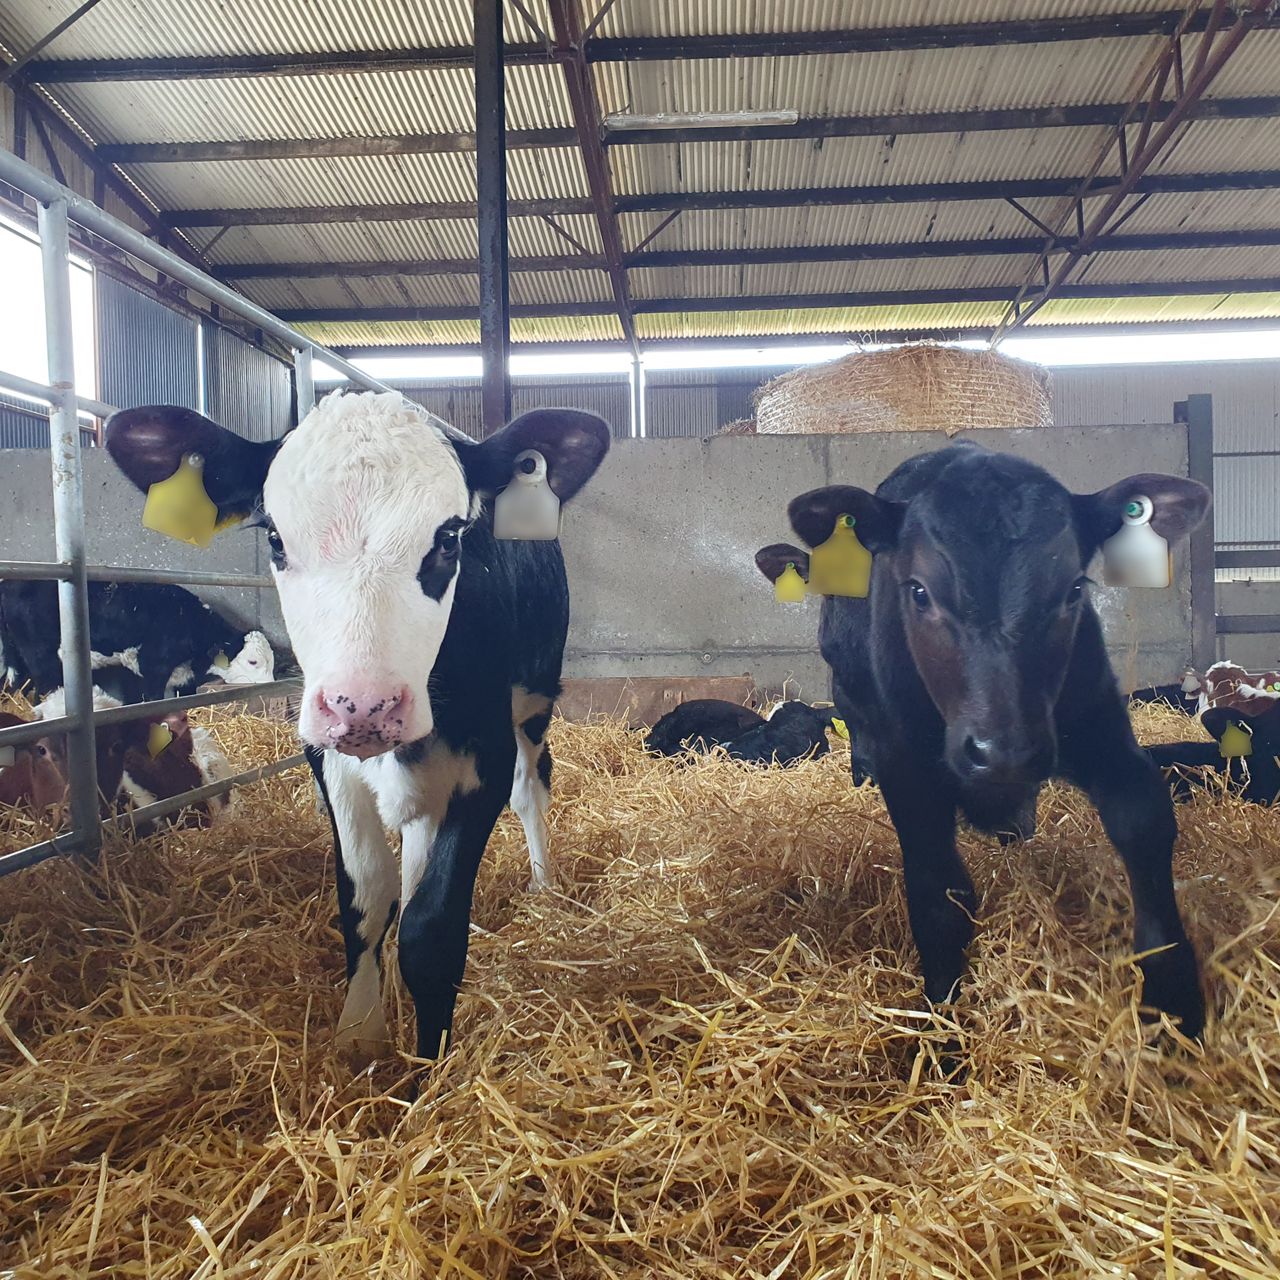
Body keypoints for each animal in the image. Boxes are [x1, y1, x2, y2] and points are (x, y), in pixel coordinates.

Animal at [104, 392, 610, 1062]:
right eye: (275, 537)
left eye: (450, 538)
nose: (362, 706)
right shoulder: (330, 762)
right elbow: (366, 899)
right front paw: (358, 1040)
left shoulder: (484, 762)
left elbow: (431, 925)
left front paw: (427, 1066)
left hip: (533, 701)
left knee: (531, 789)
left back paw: (545, 887)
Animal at [773, 441, 1211, 1038]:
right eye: (918, 591)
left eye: (1074, 589)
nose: (1005, 752)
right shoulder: (908, 770)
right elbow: (939, 893)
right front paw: (941, 1030)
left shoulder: (1100, 726)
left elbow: (1142, 821)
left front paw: (1174, 1001)